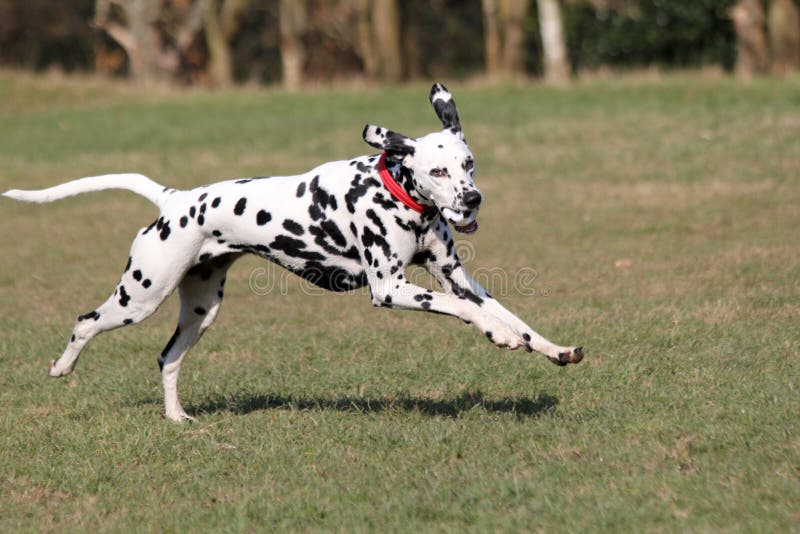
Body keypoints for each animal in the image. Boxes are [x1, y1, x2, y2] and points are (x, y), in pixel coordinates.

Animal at [3, 84, 584, 426]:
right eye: (438, 171)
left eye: (469, 163)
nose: (472, 198)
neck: (397, 191)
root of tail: (174, 200)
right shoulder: (391, 289)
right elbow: (464, 311)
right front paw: (498, 335)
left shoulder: (456, 277)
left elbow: (510, 314)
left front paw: (549, 348)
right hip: (139, 297)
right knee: (85, 321)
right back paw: (61, 367)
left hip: (200, 311)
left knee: (168, 358)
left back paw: (177, 418)